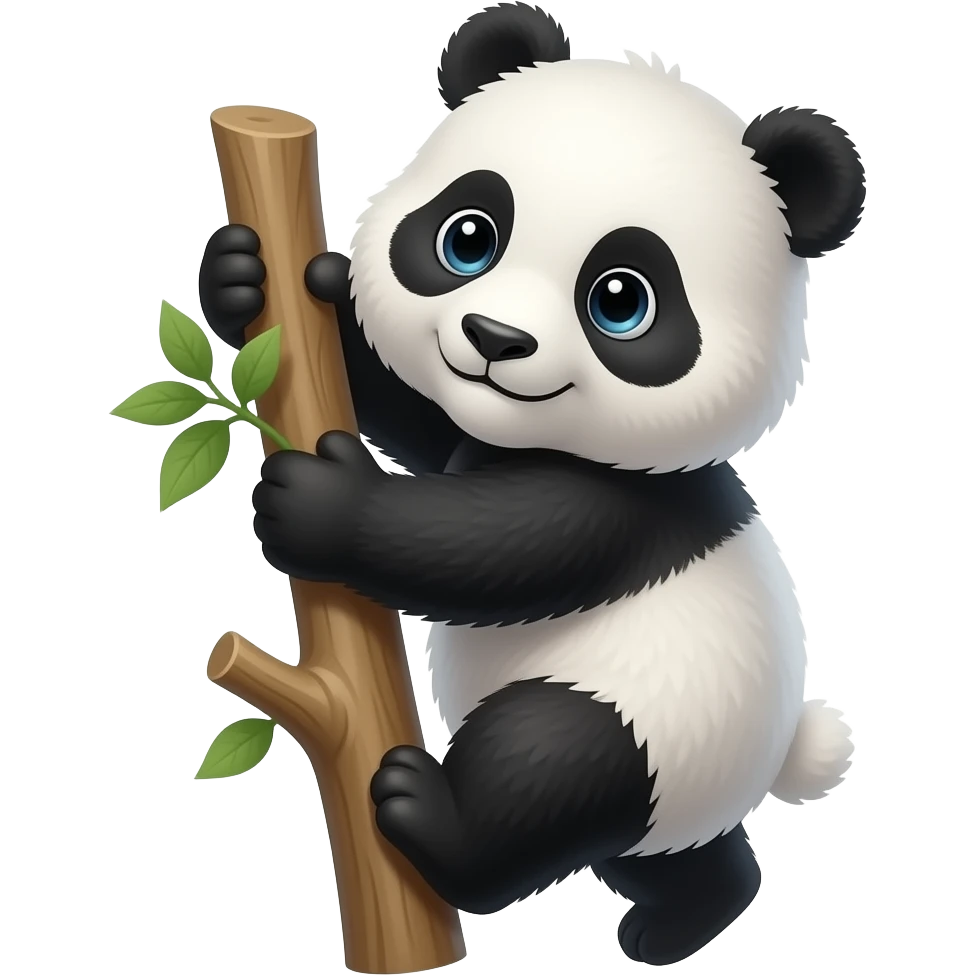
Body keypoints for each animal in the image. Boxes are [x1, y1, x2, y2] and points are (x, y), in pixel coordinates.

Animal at [199, 1, 863, 965]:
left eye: (621, 299)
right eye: (467, 236)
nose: (495, 338)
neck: (532, 437)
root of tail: (771, 761)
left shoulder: (624, 504)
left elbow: (490, 546)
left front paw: (316, 505)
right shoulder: (468, 430)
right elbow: (425, 424)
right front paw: (249, 280)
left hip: (650, 714)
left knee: (551, 759)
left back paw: (434, 820)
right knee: (668, 859)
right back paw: (686, 916)